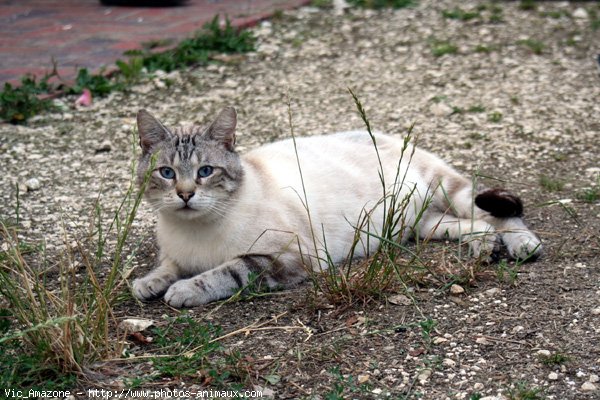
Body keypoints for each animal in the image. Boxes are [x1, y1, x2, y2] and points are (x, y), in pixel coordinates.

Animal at [132, 106, 544, 306]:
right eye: (167, 173)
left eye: (205, 171)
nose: (185, 194)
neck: (194, 232)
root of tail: (380, 132)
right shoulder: (176, 254)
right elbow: (166, 267)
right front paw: (148, 284)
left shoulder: (286, 257)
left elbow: (226, 271)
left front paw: (184, 291)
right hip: (423, 225)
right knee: (475, 226)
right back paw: (483, 249)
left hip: (446, 187)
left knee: (494, 214)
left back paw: (522, 246)